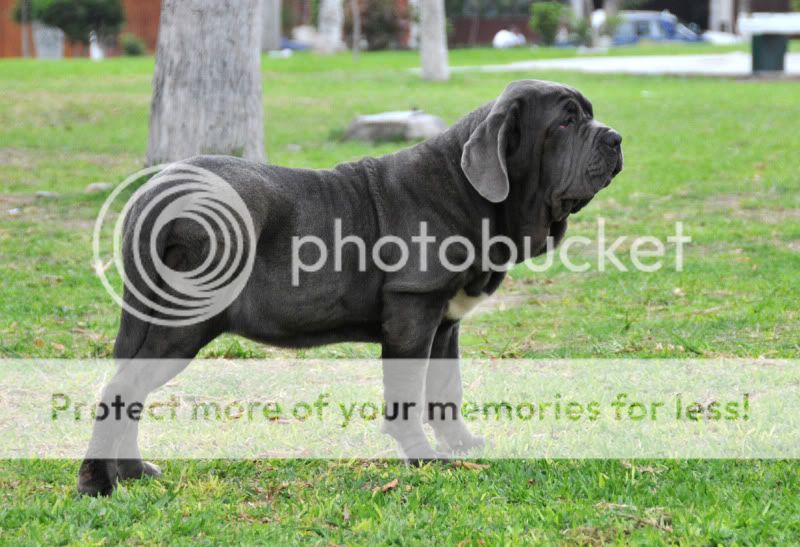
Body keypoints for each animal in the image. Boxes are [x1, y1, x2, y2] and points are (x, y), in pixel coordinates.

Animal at [78, 79, 620, 494]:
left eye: (590, 115)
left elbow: (446, 391)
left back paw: (132, 472)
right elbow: (407, 396)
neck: (472, 194)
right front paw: (422, 457)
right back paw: (98, 484)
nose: (615, 137)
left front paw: (461, 445)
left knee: (127, 392)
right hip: (184, 321)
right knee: (120, 391)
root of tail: (155, 191)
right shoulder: (412, 313)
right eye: (565, 123)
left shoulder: (445, 325)